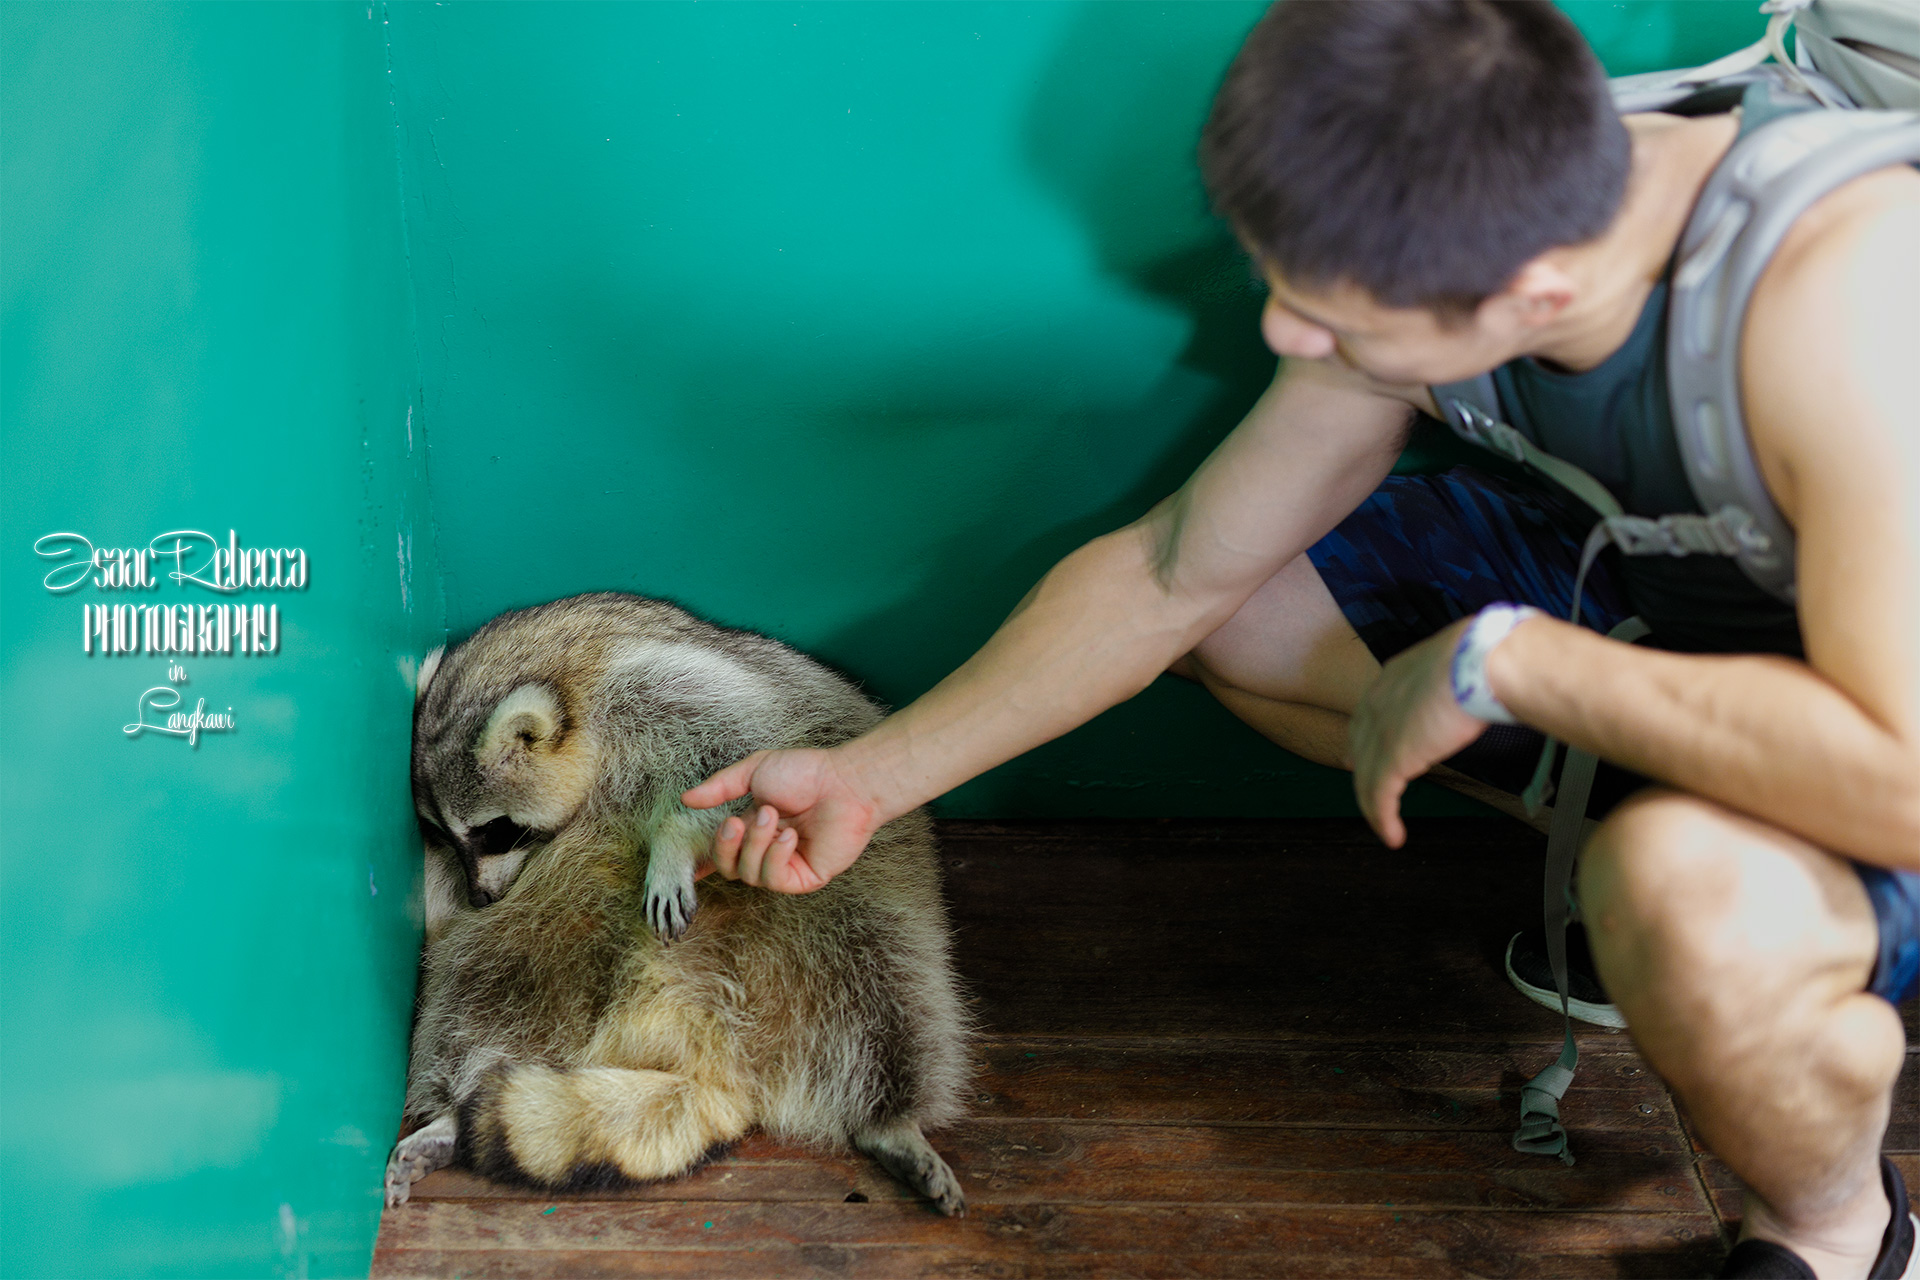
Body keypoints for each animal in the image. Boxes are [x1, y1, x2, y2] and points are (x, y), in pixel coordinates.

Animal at [380, 591, 967, 1212]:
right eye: (440, 834)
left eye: (494, 831)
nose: (481, 896)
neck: (552, 667)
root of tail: (712, 1051)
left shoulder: (657, 687)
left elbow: (745, 750)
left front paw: (676, 835)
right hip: (536, 933)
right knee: (478, 985)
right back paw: (452, 1108)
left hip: (850, 910)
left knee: (889, 994)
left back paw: (892, 1117)